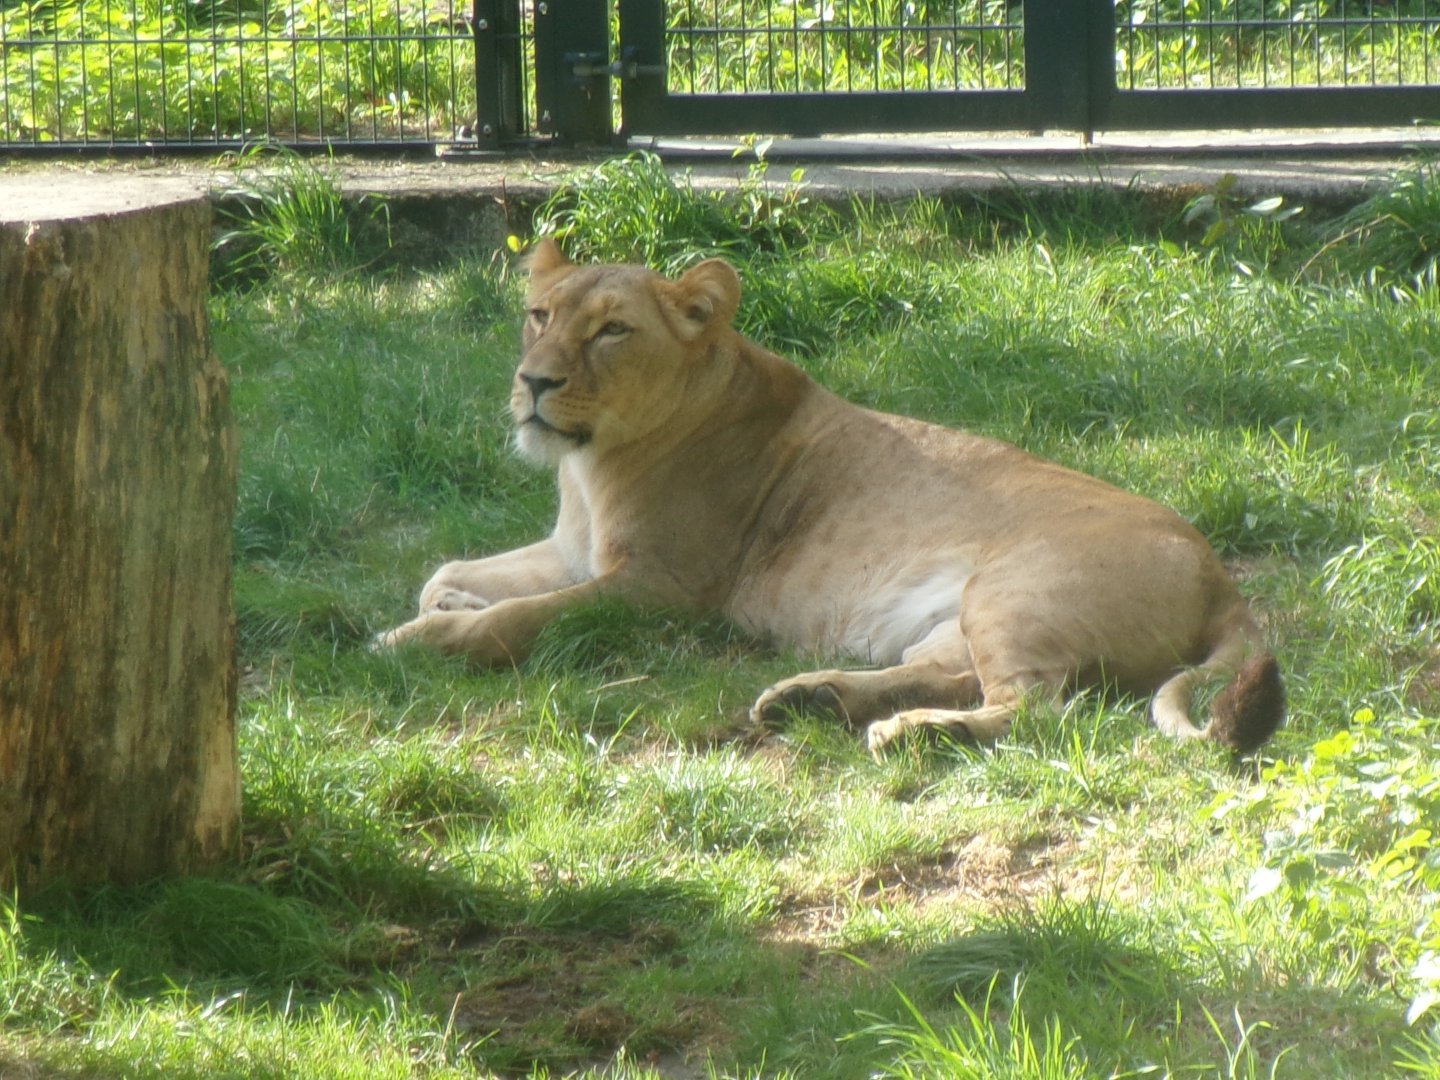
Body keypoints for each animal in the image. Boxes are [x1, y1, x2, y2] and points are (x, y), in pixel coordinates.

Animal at [376, 239, 1284, 754]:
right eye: (539, 315)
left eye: (612, 330)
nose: (534, 382)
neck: (589, 468)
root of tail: (1220, 577)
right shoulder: (577, 553)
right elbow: (452, 569)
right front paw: (443, 599)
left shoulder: (659, 587)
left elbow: (519, 619)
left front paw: (420, 639)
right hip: (960, 619)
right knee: (956, 676)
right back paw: (809, 699)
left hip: (1016, 587)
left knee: (1039, 709)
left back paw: (911, 739)